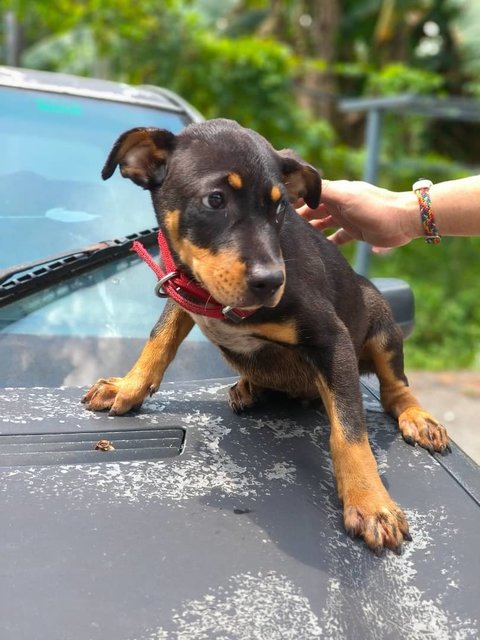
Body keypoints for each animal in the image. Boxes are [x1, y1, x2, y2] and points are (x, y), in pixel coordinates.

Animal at [83, 119, 450, 556]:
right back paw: (249, 386)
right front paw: (128, 386)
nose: (272, 282)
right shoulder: (184, 290)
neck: (215, 301)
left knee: (396, 387)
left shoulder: (332, 339)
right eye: (215, 200)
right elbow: (161, 336)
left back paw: (418, 418)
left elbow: (349, 430)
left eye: (279, 207)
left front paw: (370, 502)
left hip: (379, 320)